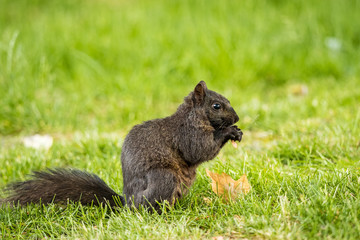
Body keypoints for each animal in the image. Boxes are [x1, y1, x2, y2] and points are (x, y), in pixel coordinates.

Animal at [0, 80, 242, 212]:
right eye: (216, 106)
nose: (237, 118)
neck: (193, 115)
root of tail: (128, 203)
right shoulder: (187, 134)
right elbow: (199, 150)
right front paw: (229, 132)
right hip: (164, 178)